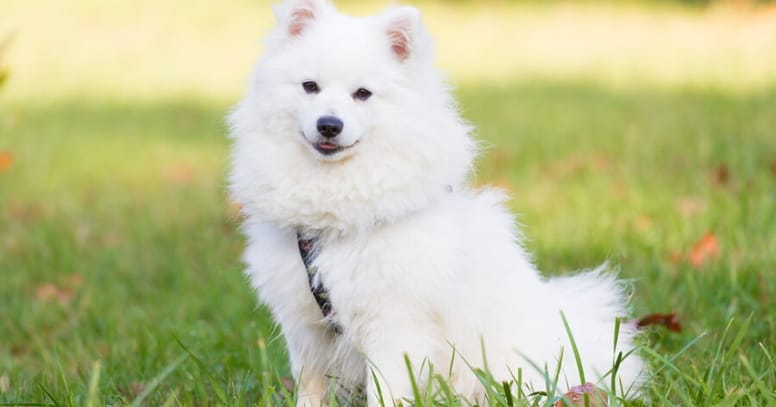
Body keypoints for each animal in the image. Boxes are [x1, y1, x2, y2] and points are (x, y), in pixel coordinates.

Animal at [227, 0, 644, 404]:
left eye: (362, 94)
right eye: (310, 86)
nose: (329, 125)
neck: (333, 215)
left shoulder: (394, 324)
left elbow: (387, 391)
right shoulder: (306, 327)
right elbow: (311, 389)